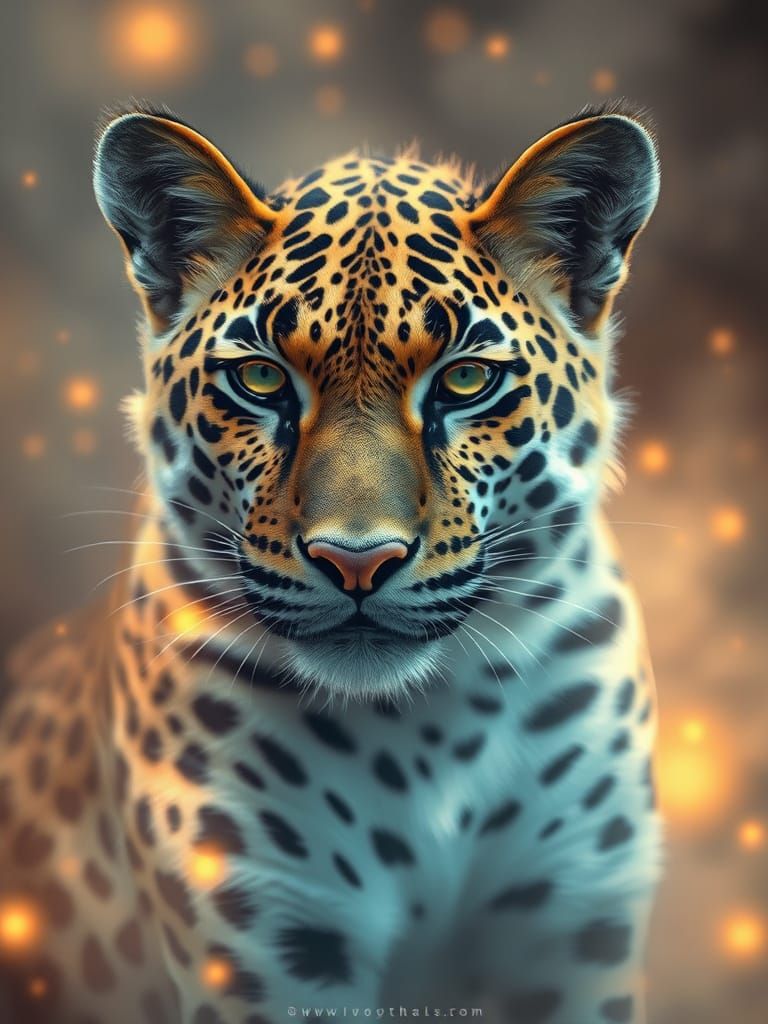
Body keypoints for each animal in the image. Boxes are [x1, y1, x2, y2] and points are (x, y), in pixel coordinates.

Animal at [0, 100, 660, 1024]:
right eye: (259, 380)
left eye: (464, 382)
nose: (357, 562)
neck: (432, 734)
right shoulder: (264, 936)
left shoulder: (577, 920)